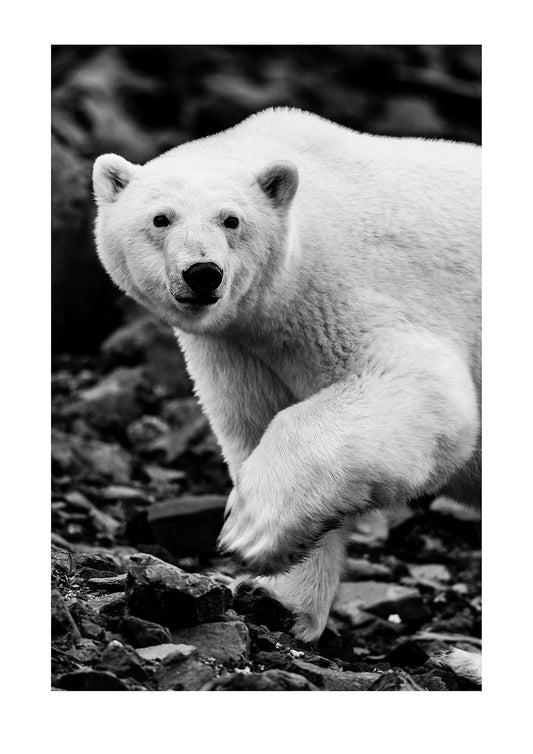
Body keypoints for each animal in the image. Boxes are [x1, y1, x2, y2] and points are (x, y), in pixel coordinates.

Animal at [90, 108, 478, 636]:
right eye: (161, 218)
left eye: (231, 219)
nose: (203, 273)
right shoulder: (238, 349)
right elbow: (254, 425)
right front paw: (274, 600)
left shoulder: (356, 287)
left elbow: (425, 391)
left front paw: (248, 530)